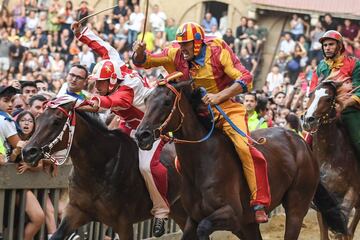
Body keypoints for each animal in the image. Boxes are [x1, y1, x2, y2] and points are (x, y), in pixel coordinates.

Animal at [21, 98, 187, 240]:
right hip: (178, 210)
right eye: (37, 119)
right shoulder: (76, 211)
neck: (98, 168)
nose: (28, 152)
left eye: (56, 121)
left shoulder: (124, 224)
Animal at [134, 80, 342, 240]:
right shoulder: (193, 217)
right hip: (249, 224)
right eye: (146, 99)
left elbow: (204, 227)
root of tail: (301, 142)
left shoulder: (232, 214)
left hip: (297, 203)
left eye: (167, 102)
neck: (201, 162)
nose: (141, 135)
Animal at [304, 80, 360, 238]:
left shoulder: (351, 195)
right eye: (310, 95)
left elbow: (345, 229)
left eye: (329, 99)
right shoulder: (323, 205)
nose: (308, 120)